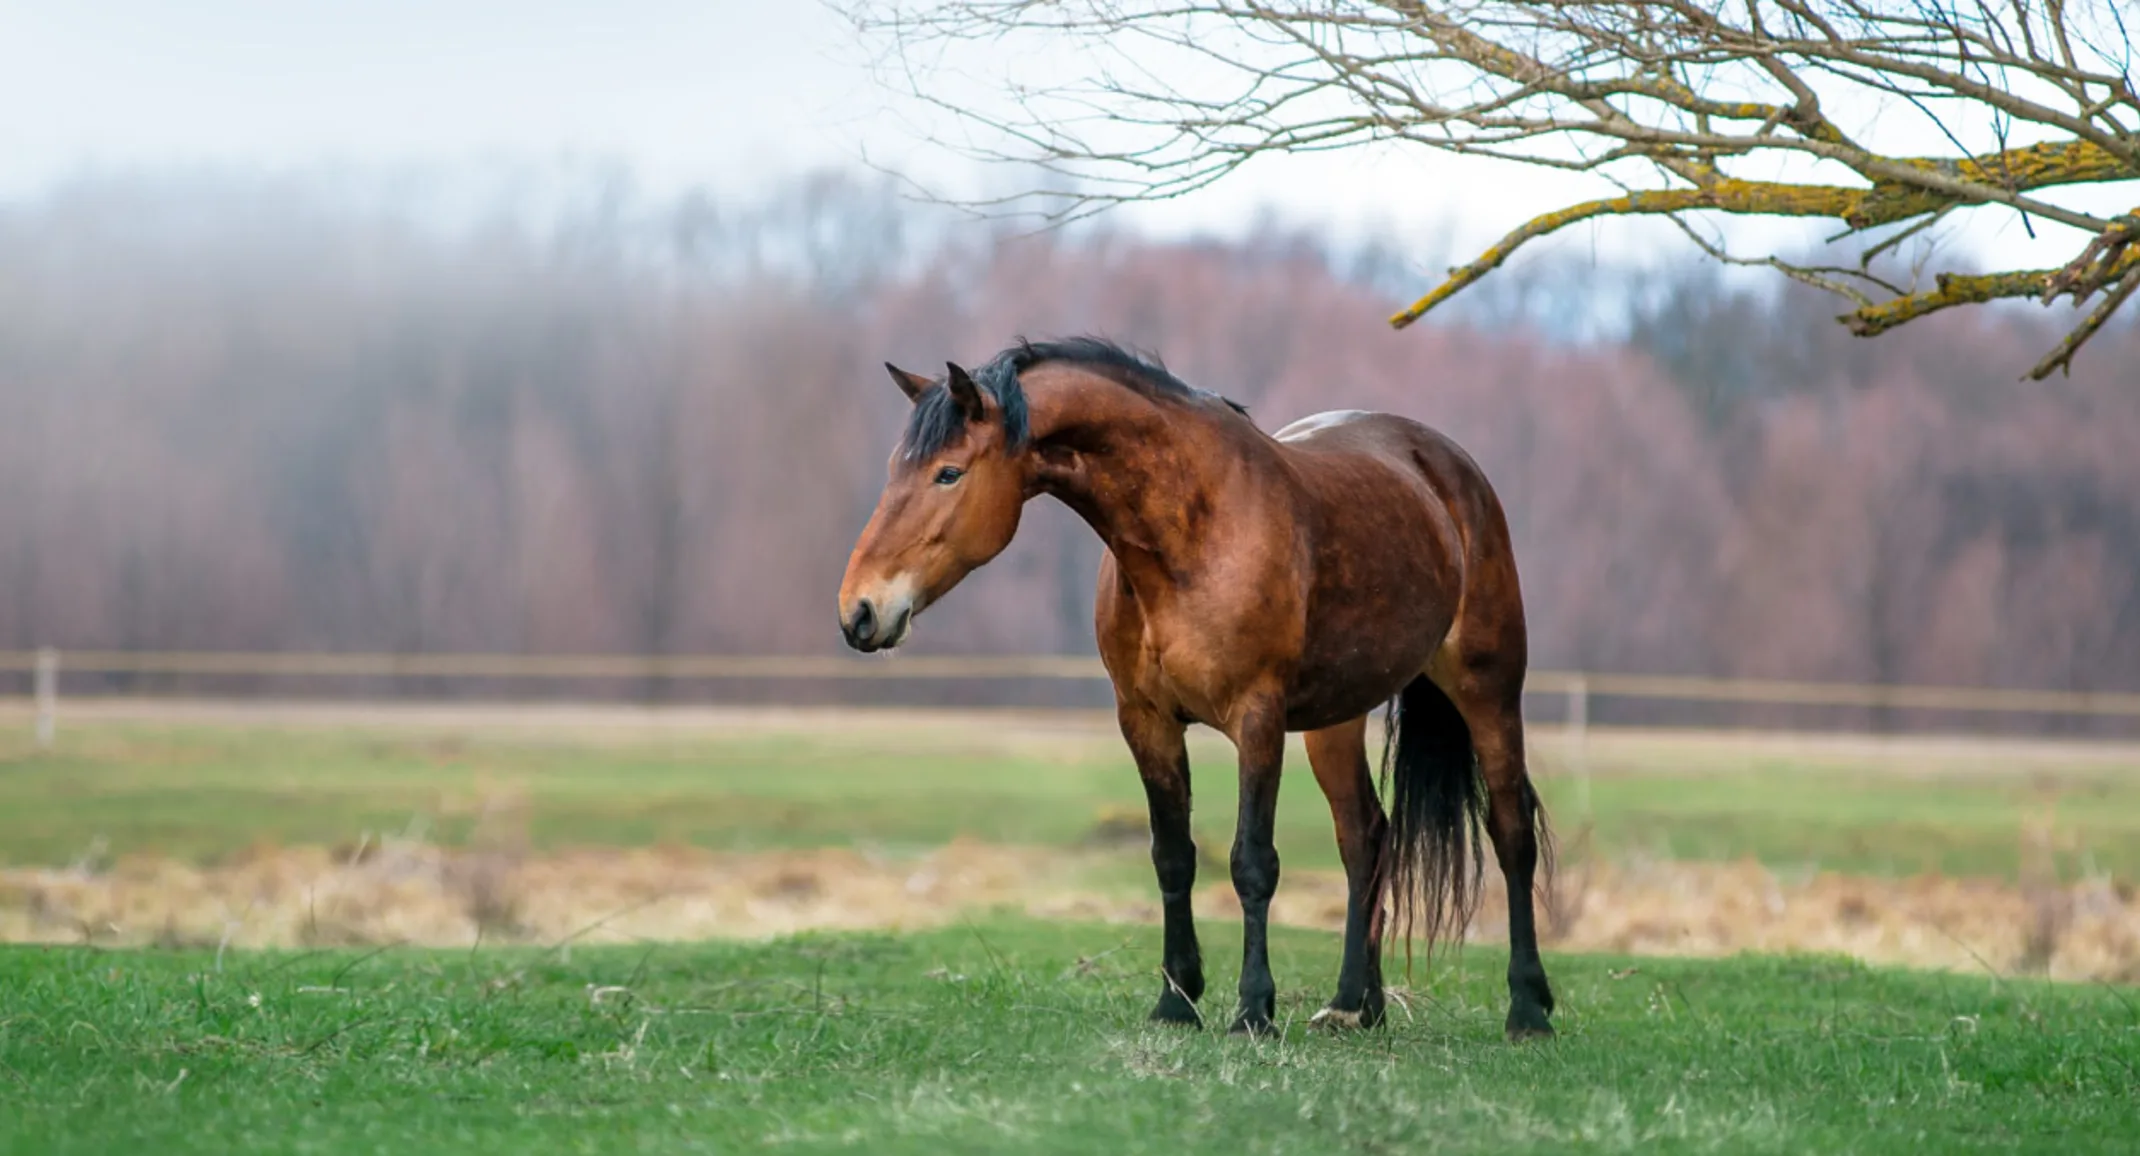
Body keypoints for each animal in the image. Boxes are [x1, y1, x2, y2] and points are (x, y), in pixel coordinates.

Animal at [834, 333, 1557, 1040]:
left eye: (948, 473)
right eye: (896, 469)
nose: (860, 612)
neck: (1192, 533)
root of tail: (1446, 466)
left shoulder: (1257, 719)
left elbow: (1252, 862)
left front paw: (1253, 1011)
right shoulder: (1145, 720)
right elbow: (1172, 855)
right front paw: (1176, 999)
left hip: (1488, 689)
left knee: (1510, 829)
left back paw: (1528, 1008)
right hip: (1336, 718)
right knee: (1365, 836)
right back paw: (1356, 1004)